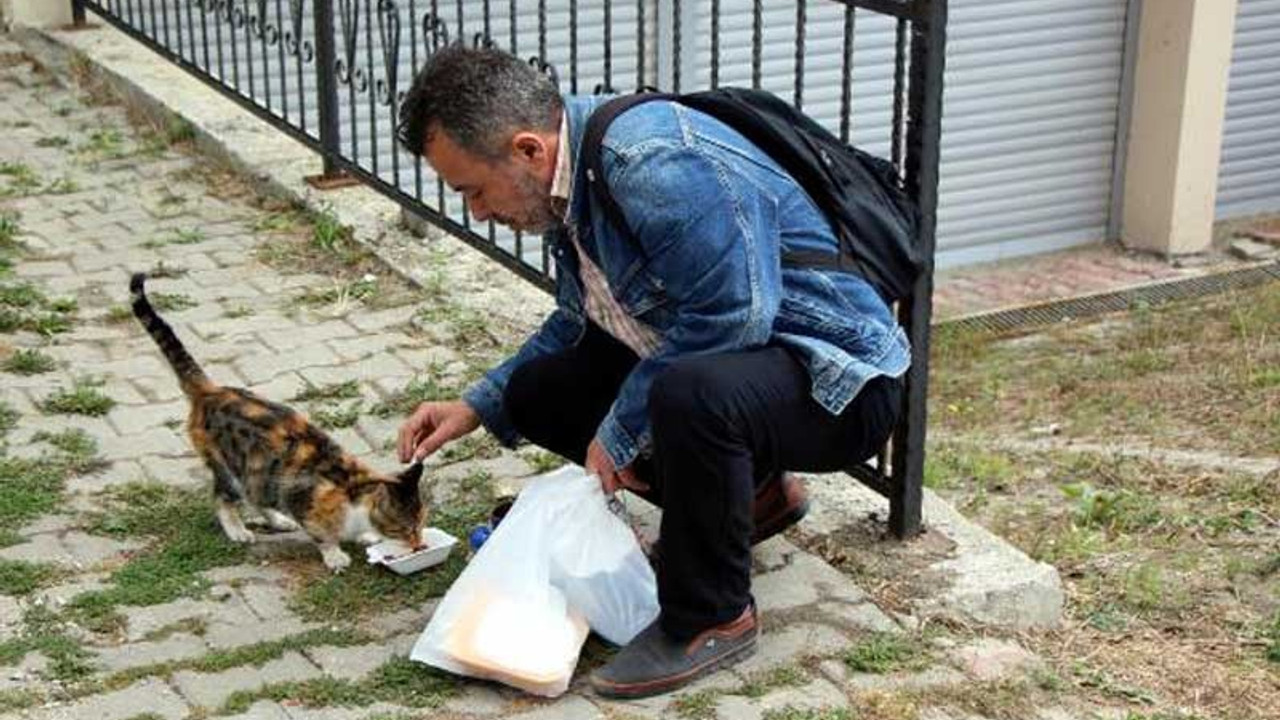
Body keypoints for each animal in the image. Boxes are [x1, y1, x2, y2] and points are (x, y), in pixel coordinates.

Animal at [133, 271, 427, 568]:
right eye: (406, 528)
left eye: (421, 522)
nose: (418, 543)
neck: (353, 490)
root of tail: (210, 391)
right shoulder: (302, 500)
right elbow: (322, 534)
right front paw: (335, 555)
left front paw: (365, 536)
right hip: (230, 467)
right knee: (222, 498)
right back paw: (238, 530)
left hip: (259, 474)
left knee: (256, 496)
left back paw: (278, 520)